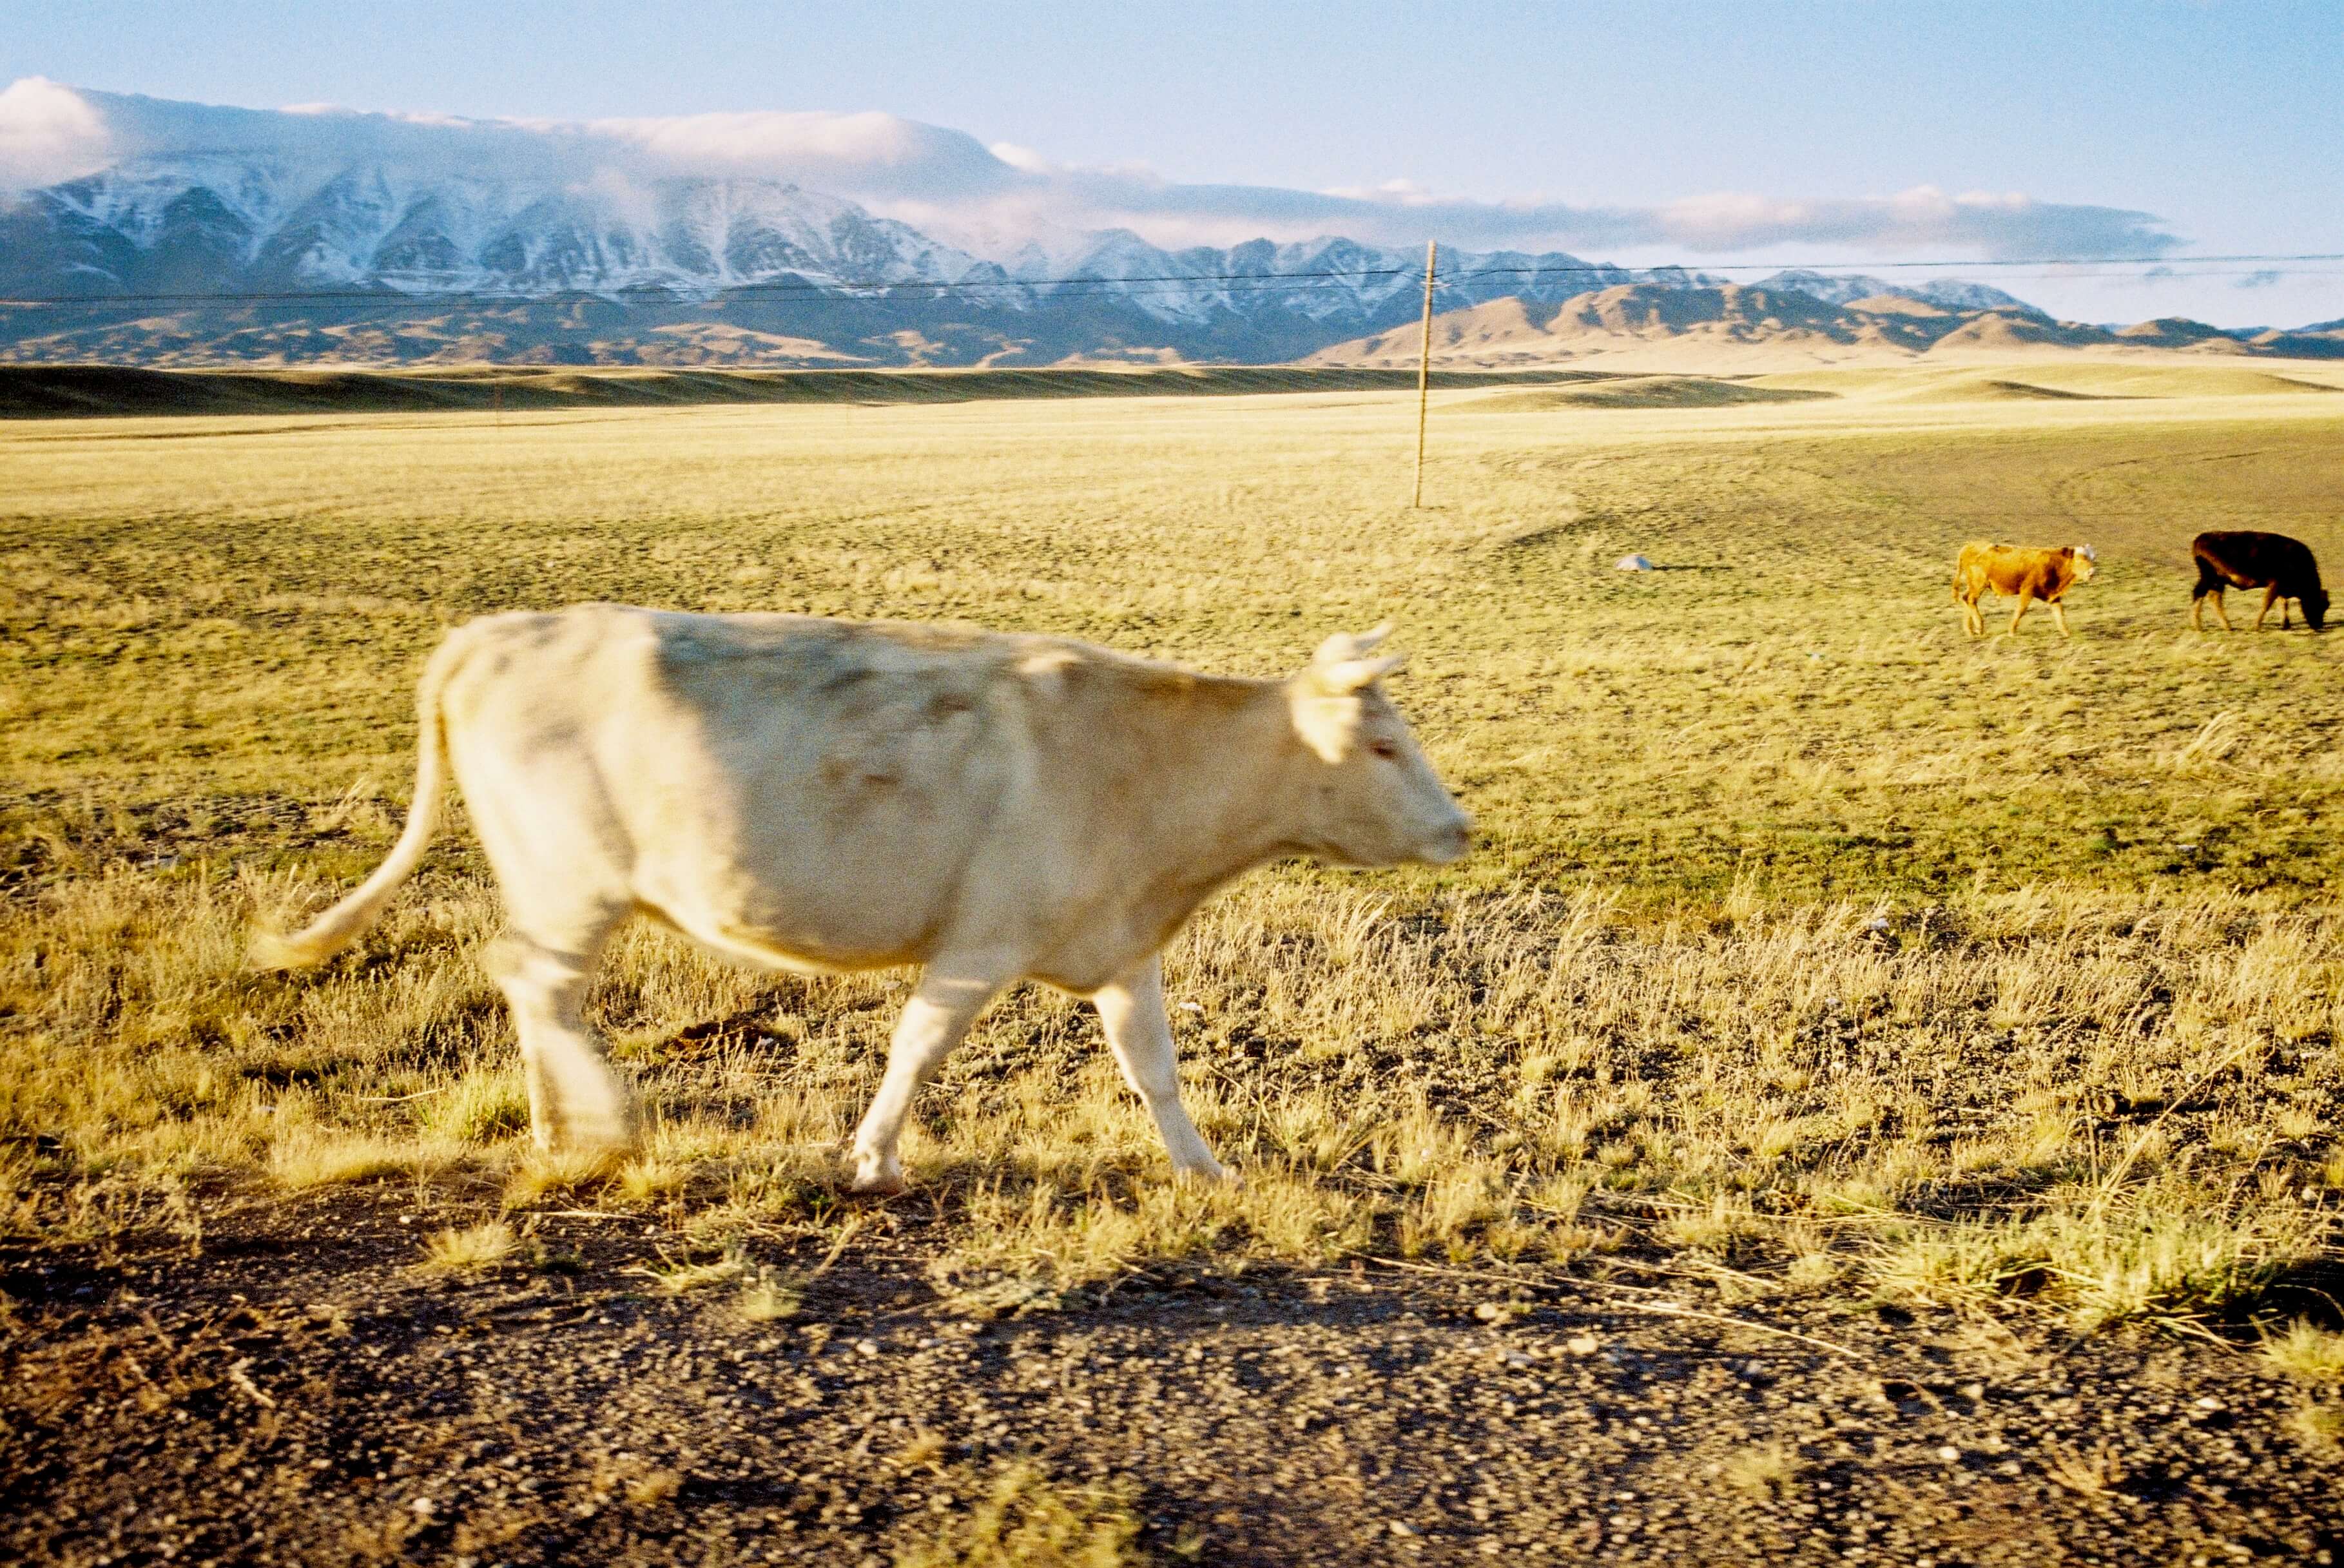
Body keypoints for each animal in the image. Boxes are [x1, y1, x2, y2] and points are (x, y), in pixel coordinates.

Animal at [257, 605, 1462, 1190]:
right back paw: (607, 1119)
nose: (1461, 828)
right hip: (573, 881)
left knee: (529, 988)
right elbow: (918, 1046)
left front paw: (1207, 1167)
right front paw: (875, 1158)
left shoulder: (1121, 948)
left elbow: (1153, 1069)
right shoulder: (981, 942)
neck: (1146, 761)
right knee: (535, 983)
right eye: (1384, 744)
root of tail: (488, 634)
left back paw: (559, 1127)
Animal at [1950, 541, 2100, 632]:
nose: (2092, 573)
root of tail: (1969, 546)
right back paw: (1979, 627)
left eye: (2092, 559)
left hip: (1974, 584)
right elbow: (2021, 611)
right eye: (2081, 559)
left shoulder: (2053, 595)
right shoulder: (2028, 591)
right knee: (1971, 600)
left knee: (1966, 599)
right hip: (1979, 583)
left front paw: (2066, 633)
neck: (2054, 564)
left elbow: (2059, 613)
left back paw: (1970, 630)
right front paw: (2012, 631)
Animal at [2184, 525, 2316, 623]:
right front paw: (2256, 626)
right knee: (2200, 593)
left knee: (2213, 597)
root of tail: (2201, 538)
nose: (2318, 625)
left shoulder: (2279, 588)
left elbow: (2282, 604)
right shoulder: (2276, 584)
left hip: (2217, 580)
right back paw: (2200, 626)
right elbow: (2268, 604)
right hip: (2210, 578)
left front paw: (2286, 625)